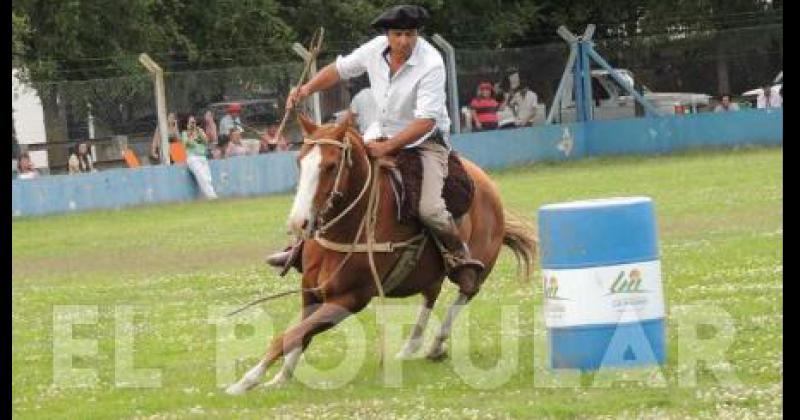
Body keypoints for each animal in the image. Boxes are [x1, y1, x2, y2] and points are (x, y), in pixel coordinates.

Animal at [225, 112, 536, 394]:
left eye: (331, 165)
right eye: (299, 161)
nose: (298, 223)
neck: (349, 228)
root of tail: (486, 183)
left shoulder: (349, 299)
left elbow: (288, 336)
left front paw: (246, 381)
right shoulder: (310, 292)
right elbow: (299, 336)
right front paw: (280, 378)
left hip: (478, 262)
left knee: (466, 291)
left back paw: (436, 344)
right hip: (430, 272)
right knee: (431, 294)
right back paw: (410, 347)